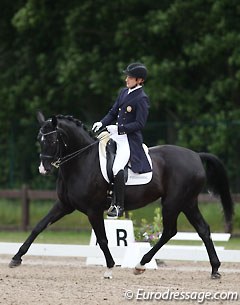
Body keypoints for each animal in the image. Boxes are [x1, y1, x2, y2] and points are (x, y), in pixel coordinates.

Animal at [8, 112, 233, 278]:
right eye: (39, 139)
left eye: (54, 139)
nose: (43, 169)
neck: (82, 161)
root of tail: (196, 155)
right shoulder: (64, 205)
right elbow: (39, 226)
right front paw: (16, 258)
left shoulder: (93, 210)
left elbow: (103, 239)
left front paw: (109, 267)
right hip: (188, 202)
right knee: (203, 230)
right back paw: (214, 269)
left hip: (173, 202)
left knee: (169, 231)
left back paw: (141, 264)